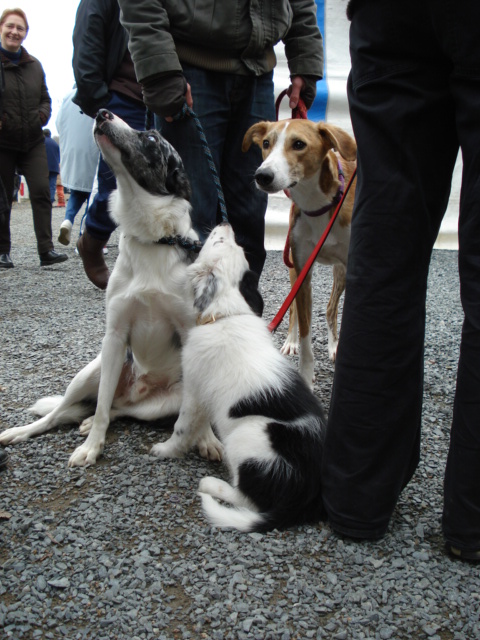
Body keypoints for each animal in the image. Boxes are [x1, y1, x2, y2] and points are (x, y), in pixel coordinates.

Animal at [0, 110, 223, 464]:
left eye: (151, 138)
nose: (103, 113)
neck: (152, 239)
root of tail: (138, 391)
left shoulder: (189, 332)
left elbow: (195, 408)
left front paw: (207, 438)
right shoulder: (115, 337)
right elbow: (102, 406)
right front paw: (92, 447)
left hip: (160, 401)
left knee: (124, 410)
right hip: (93, 372)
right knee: (71, 411)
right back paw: (27, 431)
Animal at [154, 222, 326, 532]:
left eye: (219, 242)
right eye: (229, 243)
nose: (226, 224)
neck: (226, 313)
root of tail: (304, 499)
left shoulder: (194, 390)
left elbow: (182, 427)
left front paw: (165, 450)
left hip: (247, 437)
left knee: (248, 499)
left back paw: (211, 484)